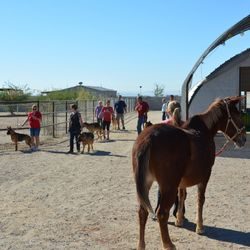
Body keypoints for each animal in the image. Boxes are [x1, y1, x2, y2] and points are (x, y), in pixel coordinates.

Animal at [133, 96, 246, 250]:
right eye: (237, 114)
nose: (244, 138)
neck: (204, 131)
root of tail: (148, 138)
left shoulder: (181, 182)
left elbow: (182, 196)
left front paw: (179, 220)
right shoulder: (205, 175)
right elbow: (200, 199)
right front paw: (200, 227)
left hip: (146, 183)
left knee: (142, 212)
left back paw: (141, 245)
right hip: (168, 186)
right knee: (162, 213)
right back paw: (168, 244)